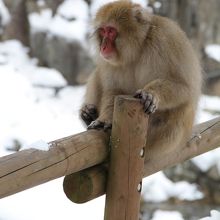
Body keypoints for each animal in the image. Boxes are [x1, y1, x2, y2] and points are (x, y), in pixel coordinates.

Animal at [80, 0, 202, 155]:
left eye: (111, 31)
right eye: (103, 31)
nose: (103, 46)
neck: (138, 48)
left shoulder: (167, 39)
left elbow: (184, 86)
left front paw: (150, 93)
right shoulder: (109, 62)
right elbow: (114, 89)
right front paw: (104, 118)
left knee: (184, 107)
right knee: (97, 74)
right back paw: (88, 114)